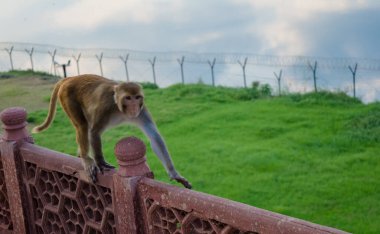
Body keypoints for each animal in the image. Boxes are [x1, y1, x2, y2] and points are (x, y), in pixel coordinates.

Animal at [33, 74, 191, 189]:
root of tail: (70, 78)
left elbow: (154, 137)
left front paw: (175, 174)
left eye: (137, 97)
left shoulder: (142, 111)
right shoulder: (105, 107)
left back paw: (80, 154)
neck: (120, 110)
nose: (134, 106)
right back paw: (86, 158)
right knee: (83, 126)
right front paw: (100, 162)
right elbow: (95, 132)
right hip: (67, 97)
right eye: (128, 98)